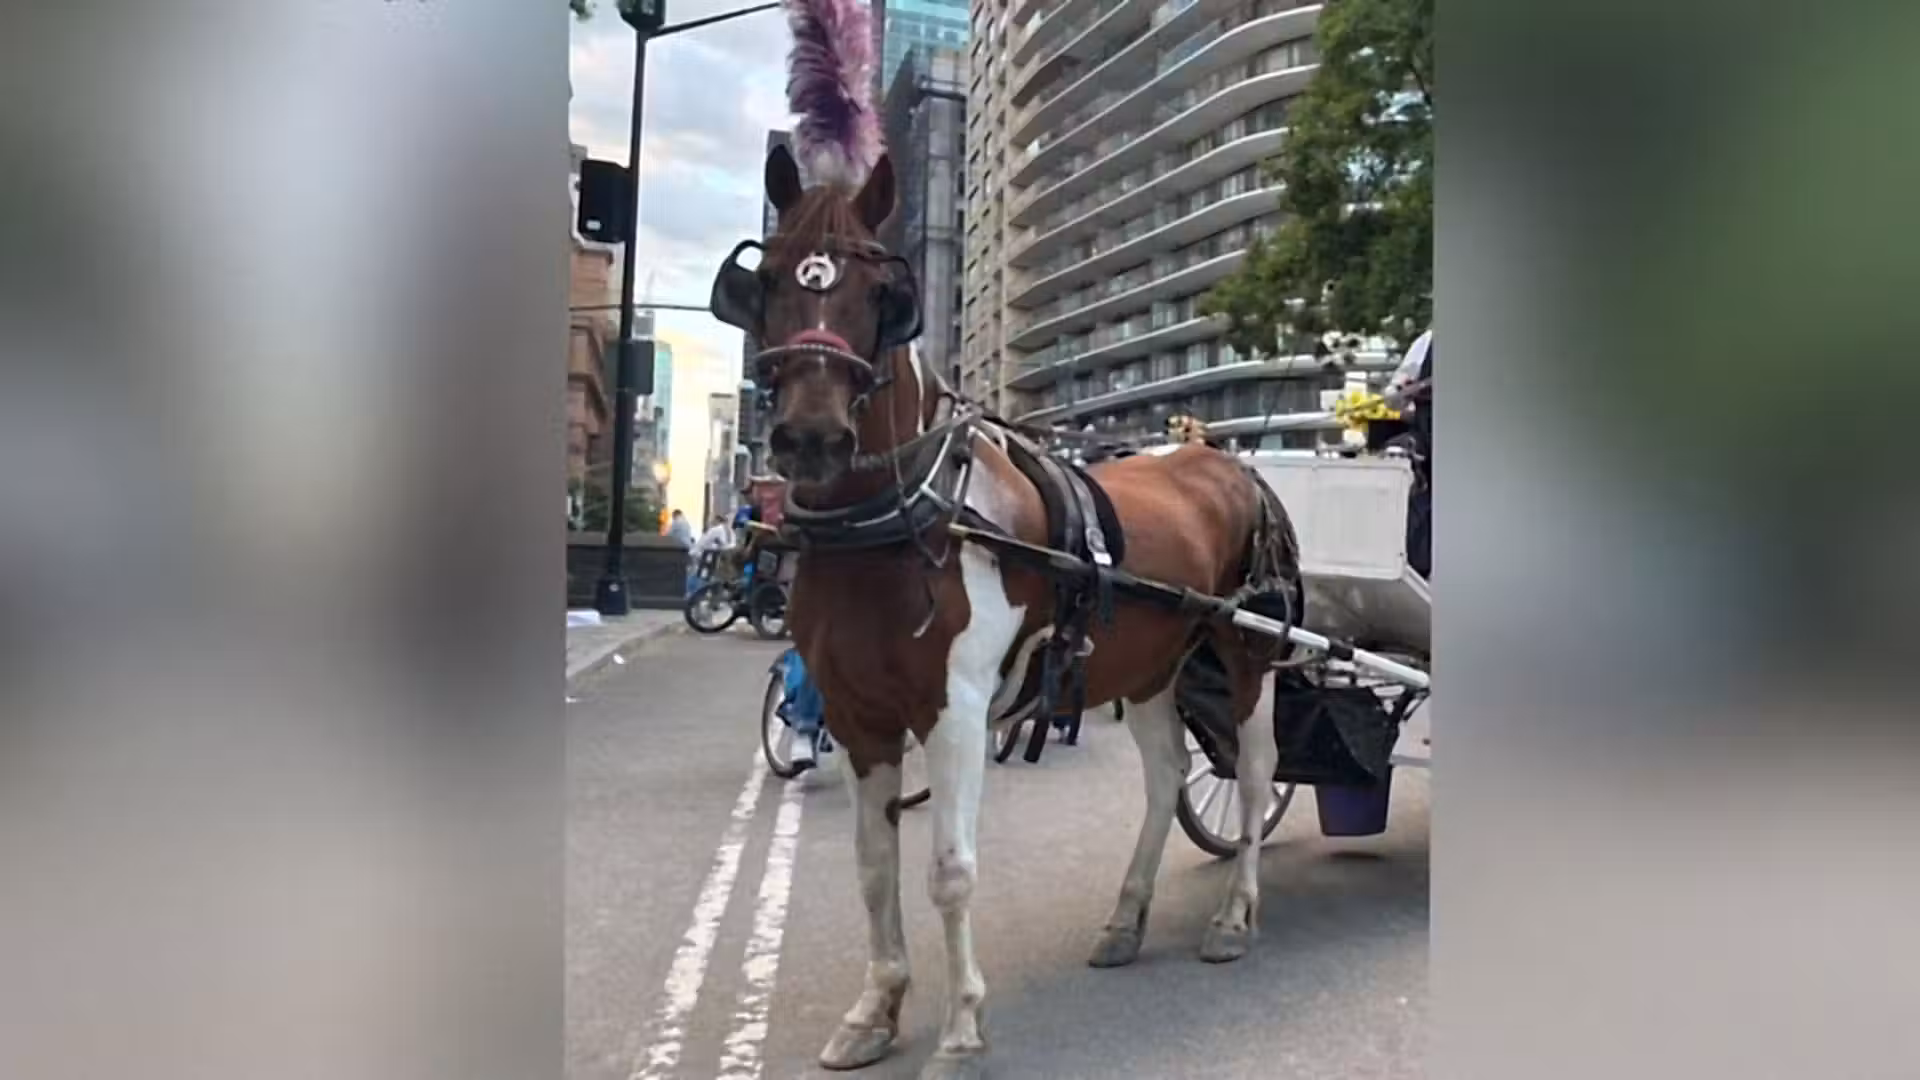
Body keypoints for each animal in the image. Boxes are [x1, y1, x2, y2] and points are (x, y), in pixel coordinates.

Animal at [709, 141, 1302, 1080]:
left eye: (880, 293)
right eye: (763, 281)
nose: (811, 437)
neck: (908, 515)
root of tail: (1226, 460)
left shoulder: (954, 711)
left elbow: (950, 870)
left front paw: (961, 1031)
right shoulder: (859, 711)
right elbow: (873, 865)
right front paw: (877, 1008)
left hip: (1244, 652)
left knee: (1250, 774)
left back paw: (1234, 915)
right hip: (1151, 668)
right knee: (1168, 775)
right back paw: (1126, 917)